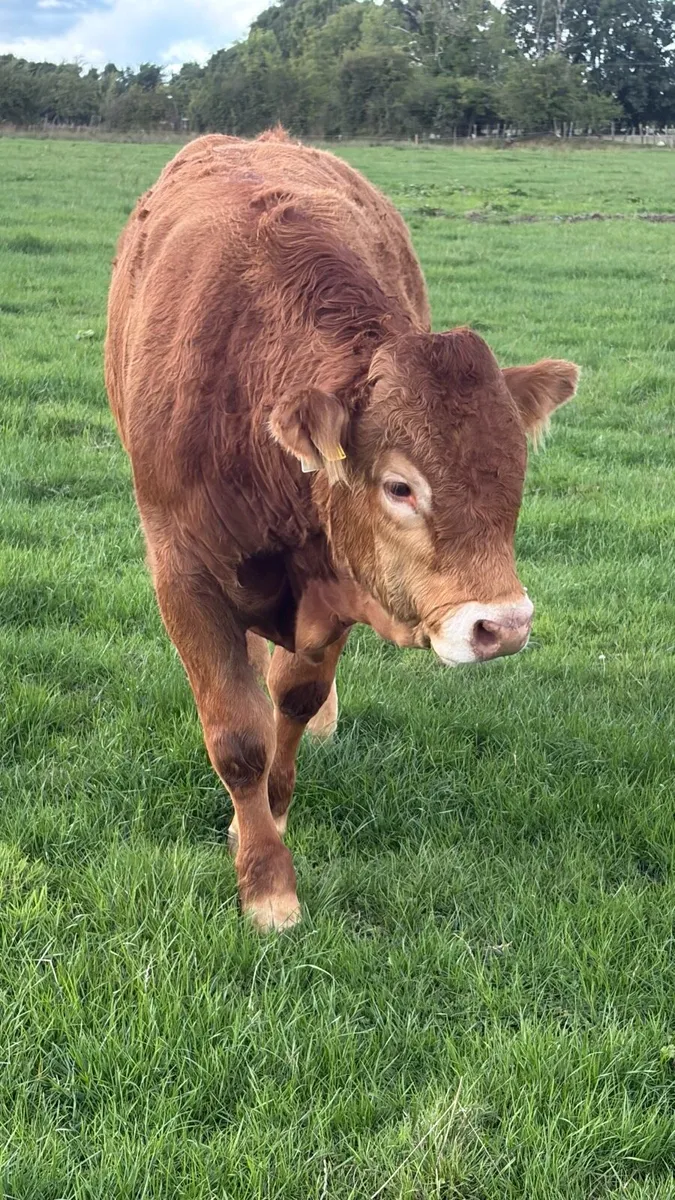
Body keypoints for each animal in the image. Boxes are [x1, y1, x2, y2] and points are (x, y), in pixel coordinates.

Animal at [105, 130, 579, 931]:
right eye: (399, 486)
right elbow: (237, 737)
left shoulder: (333, 584)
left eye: (513, 473)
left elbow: (291, 702)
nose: (504, 627)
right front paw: (268, 888)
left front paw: (268, 813)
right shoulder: (181, 572)